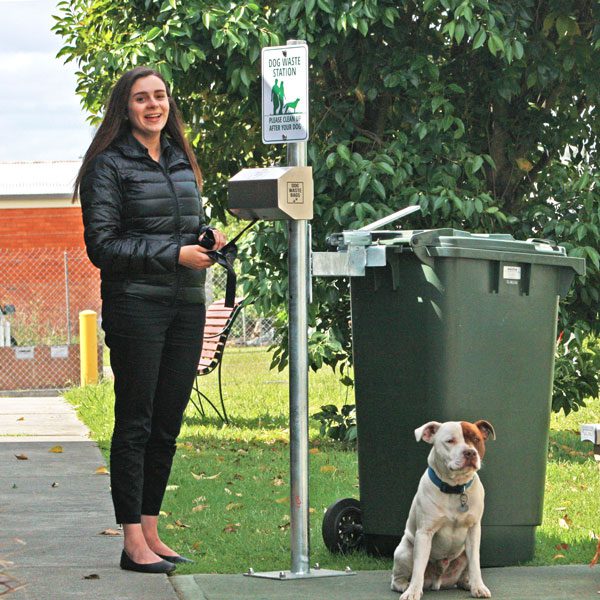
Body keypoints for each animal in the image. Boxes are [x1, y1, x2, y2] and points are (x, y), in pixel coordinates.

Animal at [392, 420, 494, 596]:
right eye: (450, 441)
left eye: (476, 439)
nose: (470, 452)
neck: (455, 489)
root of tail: (438, 580)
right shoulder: (424, 533)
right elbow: (418, 567)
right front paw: (412, 592)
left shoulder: (473, 531)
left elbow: (475, 563)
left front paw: (479, 587)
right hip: (404, 552)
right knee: (397, 578)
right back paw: (404, 585)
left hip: (463, 554)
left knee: (465, 570)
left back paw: (467, 583)